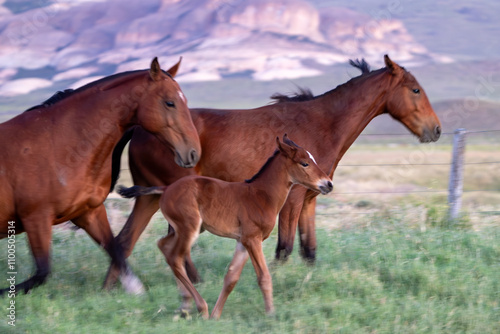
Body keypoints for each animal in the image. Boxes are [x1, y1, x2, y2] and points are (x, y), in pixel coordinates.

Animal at [1, 58, 201, 294]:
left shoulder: (88, 212)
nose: (193, 152)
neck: (59, 144)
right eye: (170, 103)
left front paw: (133, 291)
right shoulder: (36, 217)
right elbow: (42, 272)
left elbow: (116, 250)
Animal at [106, 54, 442, 288]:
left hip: (152, 197)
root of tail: (138, 128)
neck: (321, 125)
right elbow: (284, 248)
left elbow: (309, 250)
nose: (436, 130)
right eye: (415, 90)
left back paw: (115, 287)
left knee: (124, 240)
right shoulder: (291, 201)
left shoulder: (309, 199)